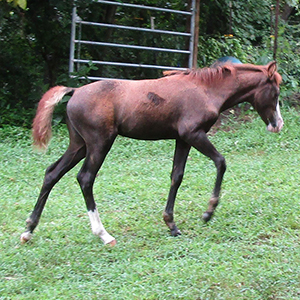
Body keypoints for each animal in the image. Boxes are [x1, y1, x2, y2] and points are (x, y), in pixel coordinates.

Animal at [20, 61, 284, 246]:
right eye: (275, 93)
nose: (278, 125)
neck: (206, 89)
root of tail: (74, 91)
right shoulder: (193, 134)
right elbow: (221, 162)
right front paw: (208, 212)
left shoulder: (182, 139)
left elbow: (177, 176)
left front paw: (172, 224)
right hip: (99, 143)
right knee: (85, 178)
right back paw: (104, 234)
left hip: (79, 145)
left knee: (52, 173)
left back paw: (28, 230)